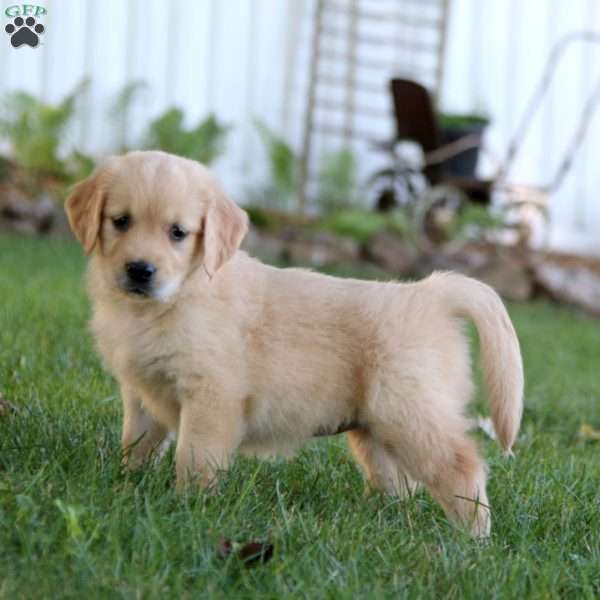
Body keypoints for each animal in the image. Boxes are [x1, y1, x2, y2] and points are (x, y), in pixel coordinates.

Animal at [65, 151, 524, 540]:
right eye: (120, 221)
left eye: (178, 233)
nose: (140, 270)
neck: (176, 298)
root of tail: (430, 293)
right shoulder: (141, 391)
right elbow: (137, 443)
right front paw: (127, 487)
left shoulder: (211, 396)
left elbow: (194, 457)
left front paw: (187, 508)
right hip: (377, 427)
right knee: (399, 483)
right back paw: (377, 522)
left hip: (412, 411)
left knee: (460, 466)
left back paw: (474, 541)